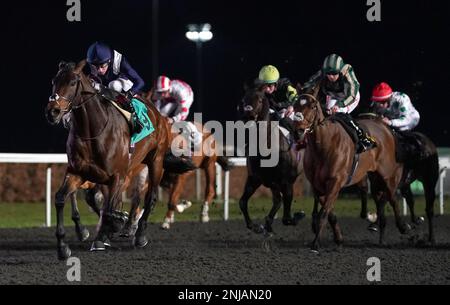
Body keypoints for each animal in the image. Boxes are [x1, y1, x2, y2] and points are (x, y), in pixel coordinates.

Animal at [46, 60, 172, 258]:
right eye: (54, 81)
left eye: (73, 82)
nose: (53, 111)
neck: (93, 131)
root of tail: (155, 111)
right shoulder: (78, 172)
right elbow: (60, 199)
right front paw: (63, 246)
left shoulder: (119, 176)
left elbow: (110, 210)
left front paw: (112, 229)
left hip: (156, 162)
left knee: (150, 197)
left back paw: (139, 235)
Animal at [294, 88, 410, 252]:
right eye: (295, 106)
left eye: (312, 106)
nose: (298, 131)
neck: (323, 146)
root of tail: (385, 127)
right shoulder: (318, 187)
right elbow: (330, 214)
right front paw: (338, 239)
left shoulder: (335, 182)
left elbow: (323, 213)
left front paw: (315, 243)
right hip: (374, 177)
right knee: (379, 198)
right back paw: (380, 235)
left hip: (388, 175)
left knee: (393, 198)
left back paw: (402, 226)